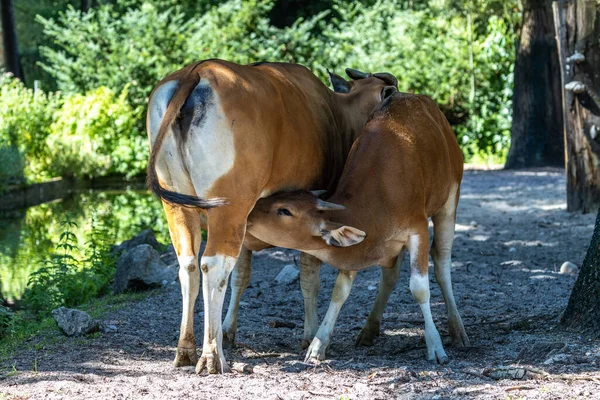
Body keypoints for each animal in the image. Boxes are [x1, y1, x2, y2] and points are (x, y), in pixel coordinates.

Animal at [145, 60, 398, 376]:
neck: (336, 113)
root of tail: (196, 71)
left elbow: (241, 276)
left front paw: (228, 332)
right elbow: (309, 276)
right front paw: (309, 334)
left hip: (177, 204)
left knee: (189, 266)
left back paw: (186, 350)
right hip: (229, 206)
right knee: (213, 267)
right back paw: (212, 356)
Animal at [246, 92, 472, 364]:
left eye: (285, 210)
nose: (249, 211)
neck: (380, 196)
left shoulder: (417, 229)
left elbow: (419, 288)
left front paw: (435, 345)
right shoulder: (359, 248)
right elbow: (340, 292)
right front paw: (318, 344)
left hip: (450, 200)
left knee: (441, 264)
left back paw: (457, 329)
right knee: (390, 275)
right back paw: (369, 329)